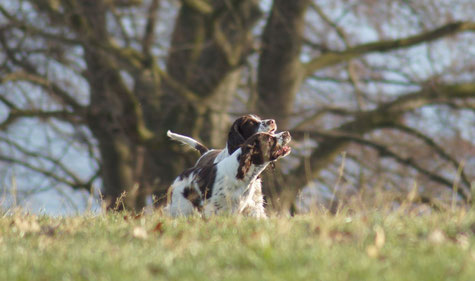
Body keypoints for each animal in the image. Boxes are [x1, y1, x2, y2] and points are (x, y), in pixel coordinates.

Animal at [164, 131, 292, 217]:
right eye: (269, 140)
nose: (287, 133)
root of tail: (180, 176)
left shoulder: (238, 207)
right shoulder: (212, 208)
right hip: (181, 208)